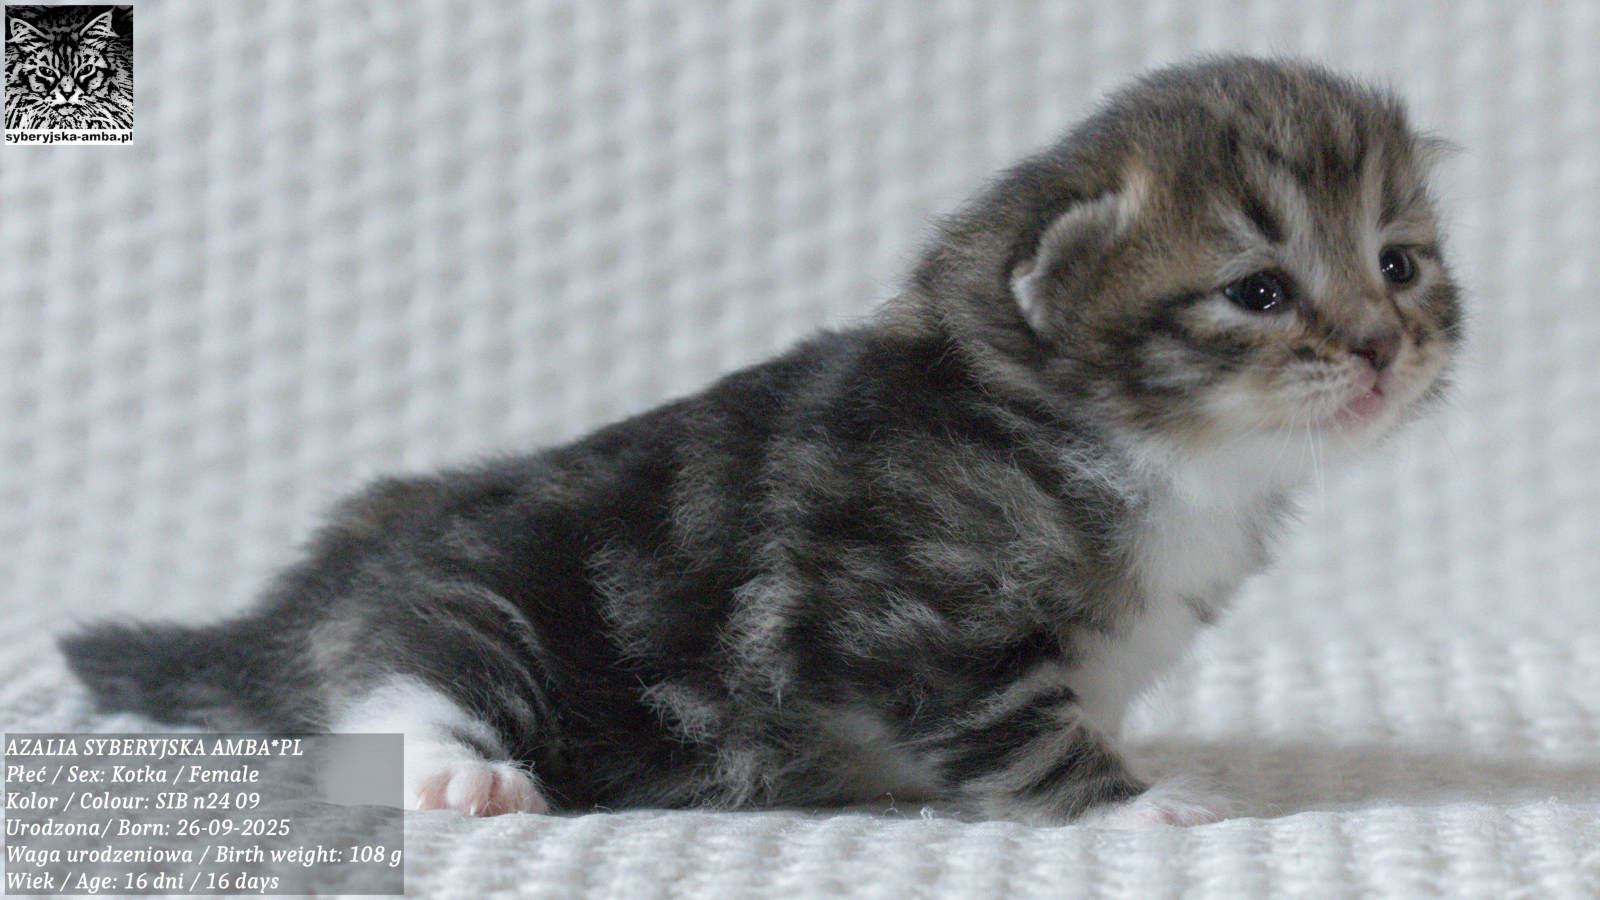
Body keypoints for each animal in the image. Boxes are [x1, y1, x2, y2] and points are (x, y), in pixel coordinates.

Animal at [60, 56, 1461, 827]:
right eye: (1259, 292)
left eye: (1398, 265)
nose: (1382, 346)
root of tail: (331, 577)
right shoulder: (916, 612)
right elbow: (1021, 725)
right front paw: (1140, 801)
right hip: (494, 604)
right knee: (392, 681)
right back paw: (461, 775)